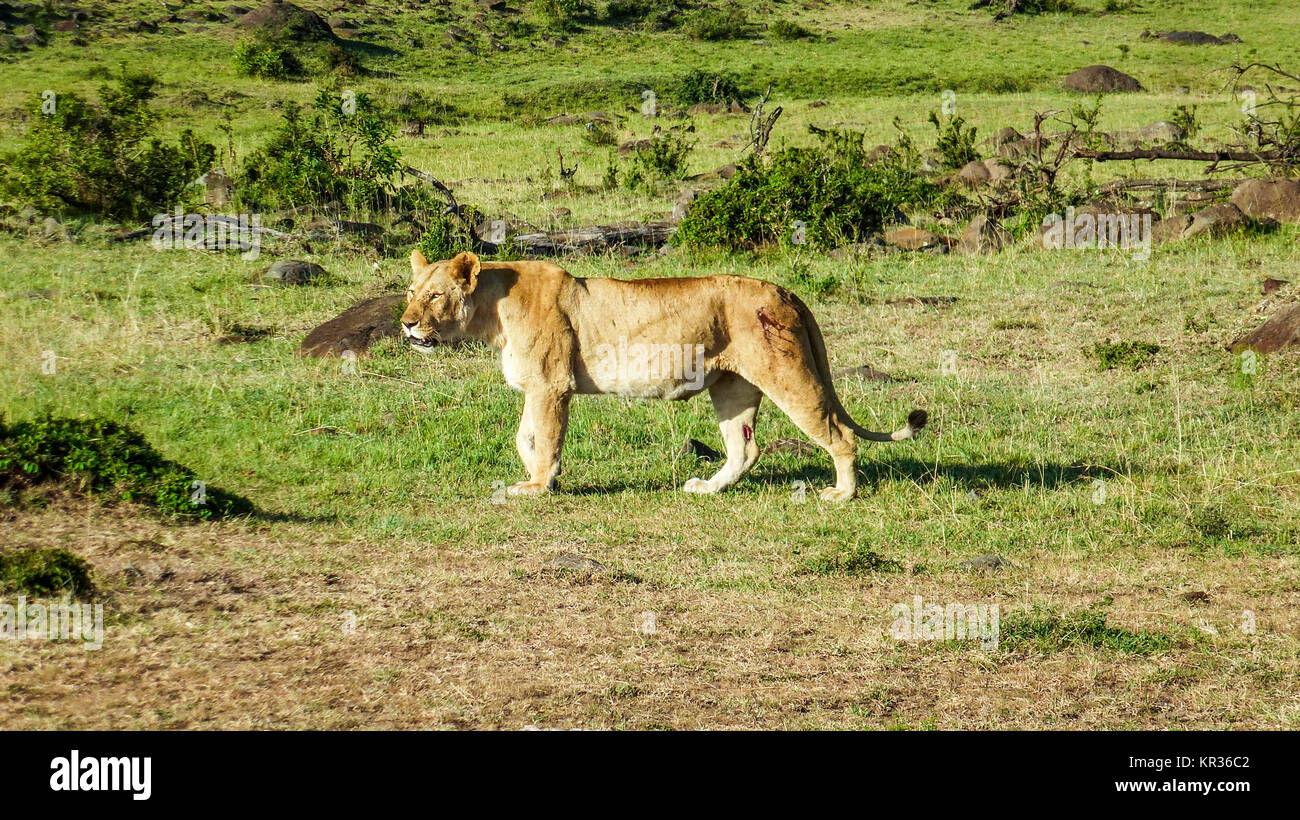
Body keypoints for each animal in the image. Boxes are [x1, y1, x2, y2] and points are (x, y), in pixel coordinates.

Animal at [401, 250, 927, 501]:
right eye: (410, 291)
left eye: (434, 295)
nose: (405, 324)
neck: (492, 311)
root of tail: (785, 290)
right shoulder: (537, 387)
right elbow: (524, 437)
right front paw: (535, 478)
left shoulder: (552, 385)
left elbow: (544, 437)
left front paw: (537, 487)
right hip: (733, 388)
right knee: (745, 448)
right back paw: (708, 489)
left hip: (787, 372)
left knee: (840, 435)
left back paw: (842, 494)